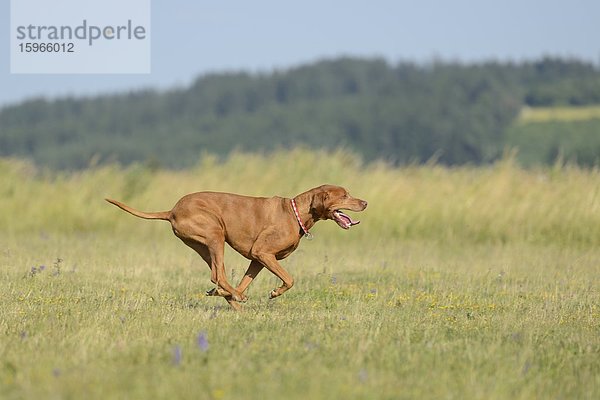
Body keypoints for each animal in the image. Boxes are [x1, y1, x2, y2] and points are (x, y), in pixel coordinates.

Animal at [106, 184, 368, 310]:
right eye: (344, 195)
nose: (365, 203)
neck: (295, 212)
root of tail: (172, 210)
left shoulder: (257, 259)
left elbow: (245, 280)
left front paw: (233, 295)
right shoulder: (263, 253)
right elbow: (289, 279)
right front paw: (274, 292)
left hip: (205, 245)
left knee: (216, 275)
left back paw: (229, 296)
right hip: (215, 235)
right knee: (218, 275)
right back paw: (233, 296)